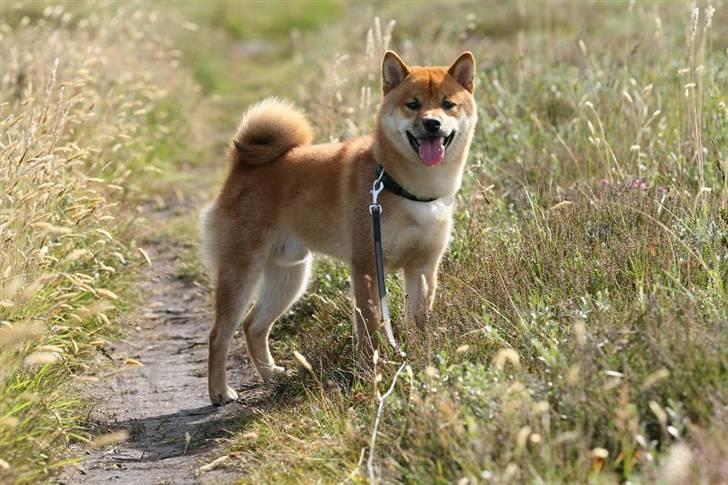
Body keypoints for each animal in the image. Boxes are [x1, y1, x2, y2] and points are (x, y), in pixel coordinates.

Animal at [202, 50, 480, 404]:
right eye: (413, 104)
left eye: (447, 104)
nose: (432, 123)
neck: (406, 187)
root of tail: (242, 167)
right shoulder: (366, 267)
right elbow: (371, 328)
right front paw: (372, 370)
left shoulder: (422, 268)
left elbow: (419, 320)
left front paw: (420, 357)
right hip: (240, 273)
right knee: (219, 334)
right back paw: (219, 391)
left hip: (289, 276)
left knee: (253, 325)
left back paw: (272, 375)